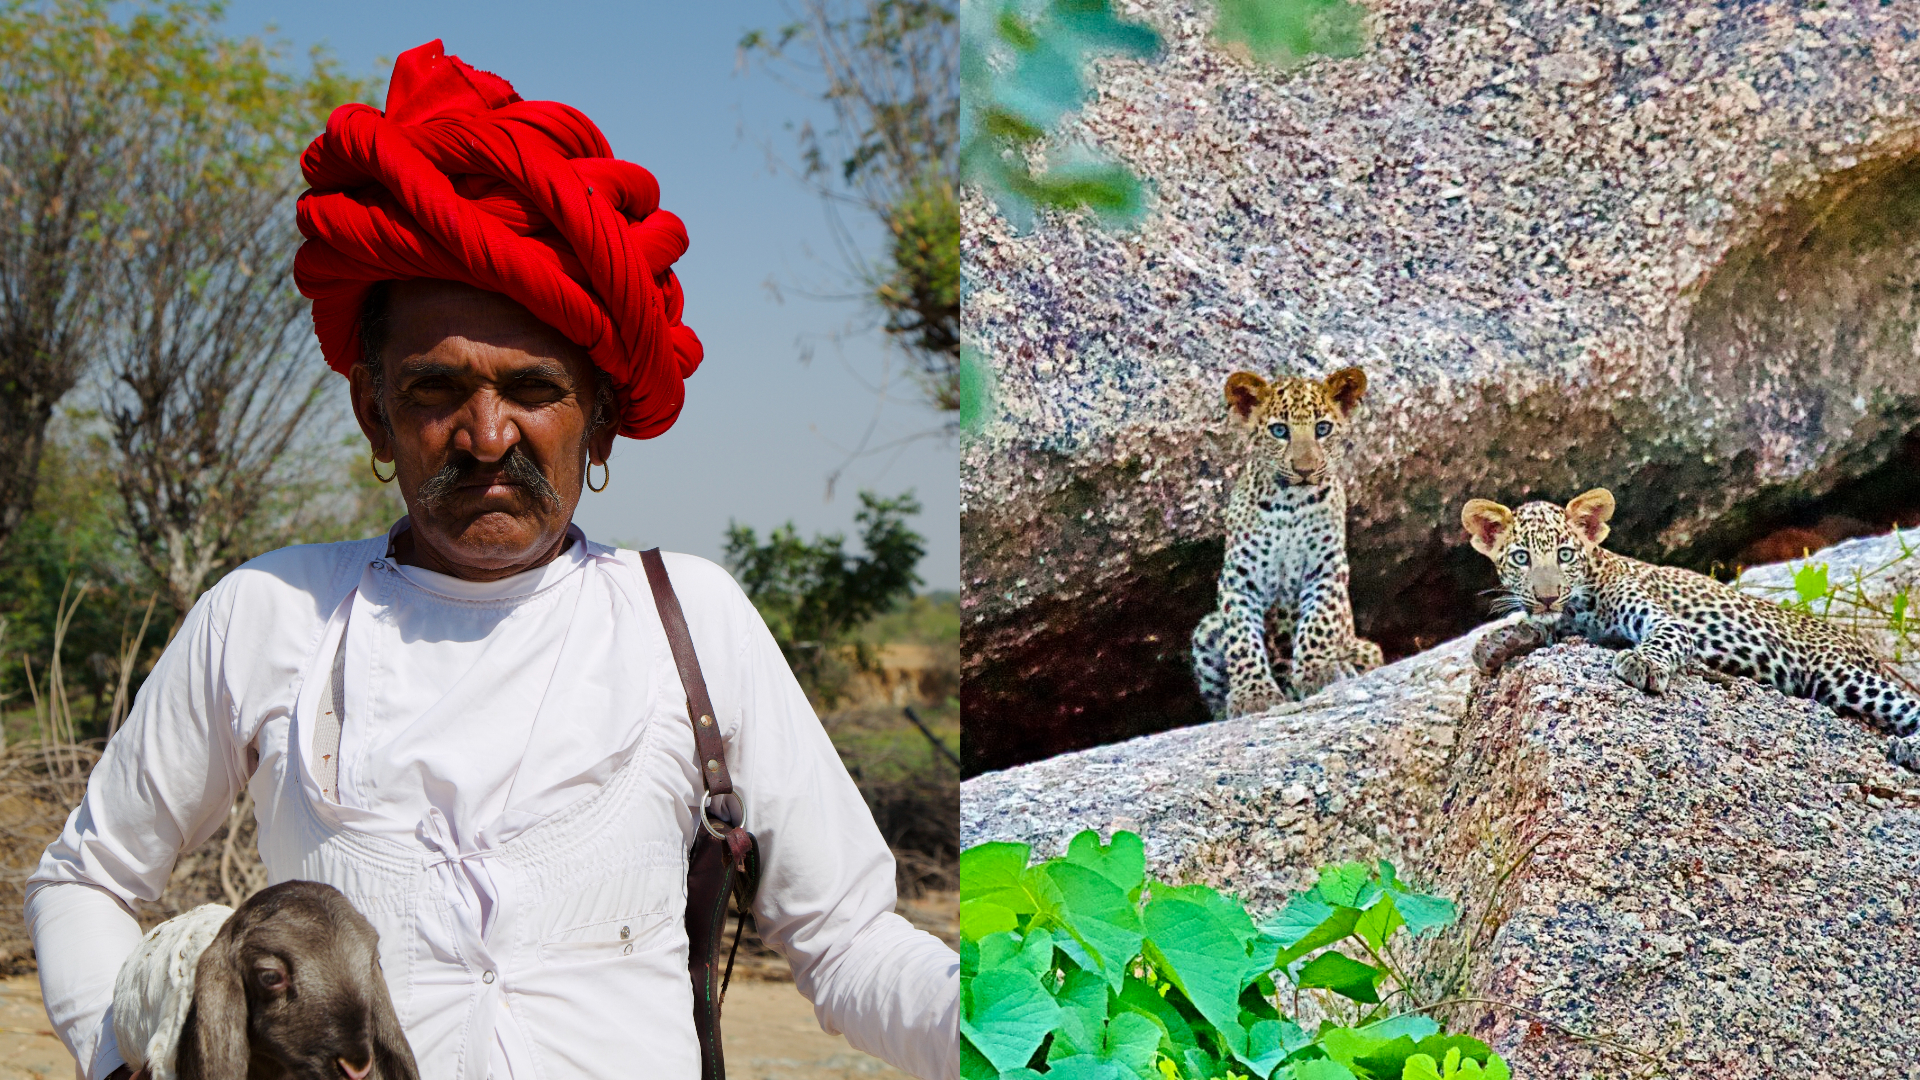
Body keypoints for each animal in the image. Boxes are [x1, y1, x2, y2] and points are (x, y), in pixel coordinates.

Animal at [1192, 366, 1383, 718]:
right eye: (1280, 431)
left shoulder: (1327, 568)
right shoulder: (1240, 578)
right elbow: (1241, 638)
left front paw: (1316, 672)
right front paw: (1253, 694)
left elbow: (1318, 622)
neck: (1290, 504)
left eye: (1322, 428)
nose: (1305, 470)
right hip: (1207, 630)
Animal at [1462, 488, 1920, 770]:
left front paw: (1642, 664)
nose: (1547, 595)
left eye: (1565, 554)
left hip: (1838, 674)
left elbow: (1662, 639)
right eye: (1521, 557)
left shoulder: (1668, 621)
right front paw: (1500, 641)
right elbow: (1540, 627)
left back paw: (1910, 747)